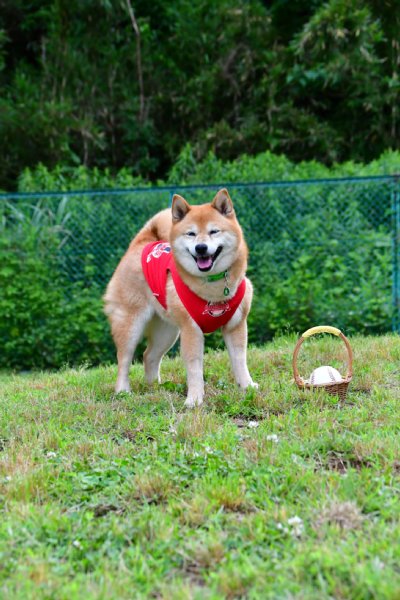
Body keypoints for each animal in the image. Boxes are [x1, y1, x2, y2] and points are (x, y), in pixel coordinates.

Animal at [103, 190, 258, 406]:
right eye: (191, 234)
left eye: (214, 231)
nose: (201, 248)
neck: (213, 286)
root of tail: (141, 243)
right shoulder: (191, 330)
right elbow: (194, 368)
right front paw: (194, 399)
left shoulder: (236, 325)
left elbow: (240, 360)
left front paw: (247, 386)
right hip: (131, 325)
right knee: (124, 360)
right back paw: (123, 391)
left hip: (167, 331)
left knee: (149, 356)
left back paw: (155, 388)